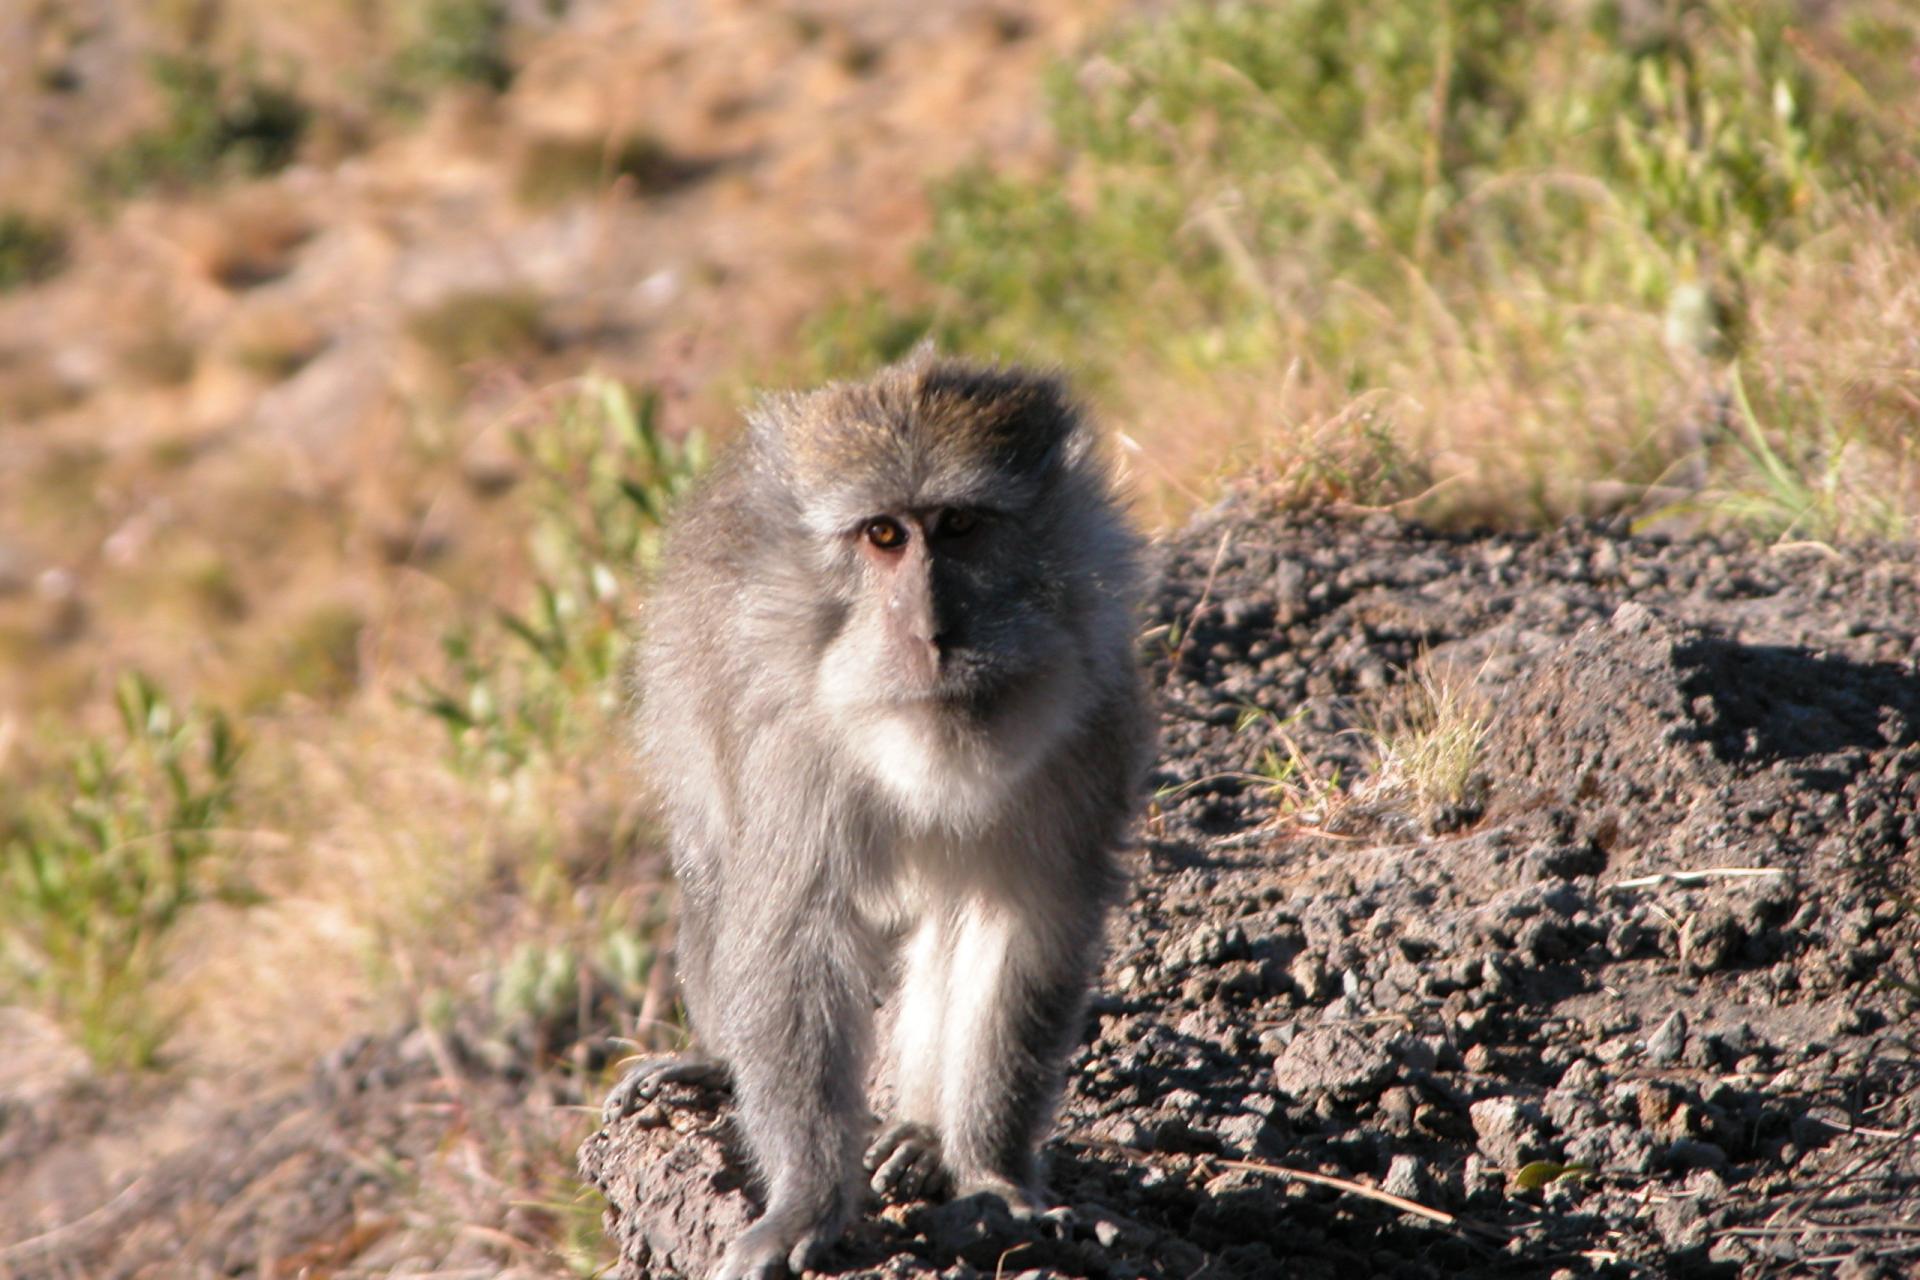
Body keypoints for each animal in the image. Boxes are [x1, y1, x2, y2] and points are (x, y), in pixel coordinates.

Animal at [603, 351, 1151, 1280]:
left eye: (959, 526)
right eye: (883, 537)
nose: (931, 632)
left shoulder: (1089, 731)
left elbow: (1022, 925)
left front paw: (992, 1171)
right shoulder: (791, 751)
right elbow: (791, 939)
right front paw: (808, 1200)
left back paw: (922, 1135)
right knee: (718, 873)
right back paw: (716, 1058)